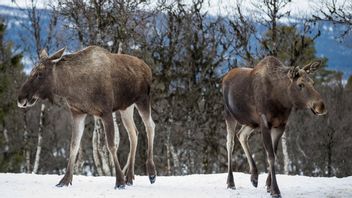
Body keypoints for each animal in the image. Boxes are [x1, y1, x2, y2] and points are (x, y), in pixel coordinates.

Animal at [17, 45, 157, 189]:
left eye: (39, 74)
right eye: (31, 71)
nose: (21, 98)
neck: (72, 88)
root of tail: (148, 69)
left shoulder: (106, 111)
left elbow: (111, 145)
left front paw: (119, 181)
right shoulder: (77, 112)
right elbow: (74, 145)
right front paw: (65, 180)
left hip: (143, 99)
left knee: (150, 126)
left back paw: (151, 173)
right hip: (126, 107)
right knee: (134, 133)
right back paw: (129, 177)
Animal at [223, 56, 328, 197]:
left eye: (313, 82)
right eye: (300, 84)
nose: (320, 106)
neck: (281, 99)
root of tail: (225, 77)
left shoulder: (280, 125)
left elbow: (275, 154)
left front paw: (268, 185)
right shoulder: (265, 123)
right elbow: (271, 156)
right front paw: (275, 190)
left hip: (251, 122)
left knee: (242, 135)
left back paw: (254, 176)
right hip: (230, 115)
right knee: (230, 143)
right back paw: (230, 182)